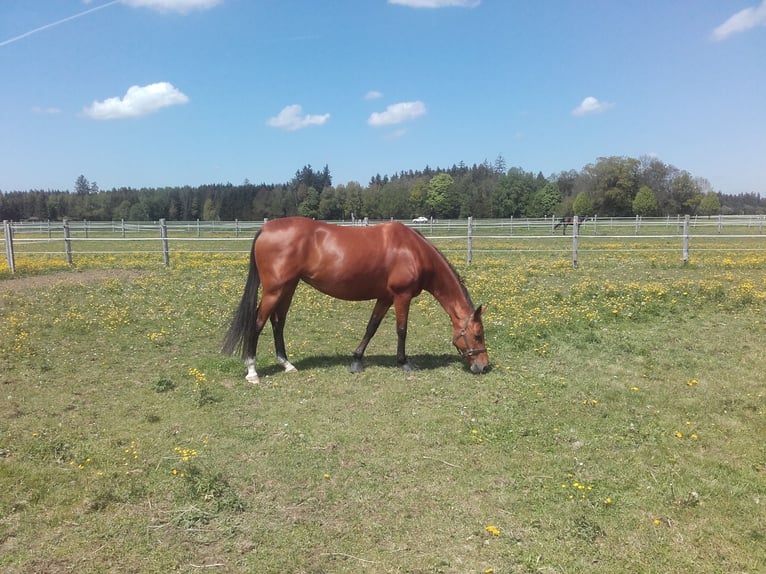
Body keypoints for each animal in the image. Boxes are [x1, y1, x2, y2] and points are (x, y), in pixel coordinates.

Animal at [222, 218, 488, 384]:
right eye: (478, 335)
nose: (484, 366)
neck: (413, 251)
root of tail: (265, 229)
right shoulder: (401, 296)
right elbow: (401, 330)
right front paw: (404, 363)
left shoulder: (385, 297)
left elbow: (371, 327)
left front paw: (357, 361)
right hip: (274, 290)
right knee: (258, 322)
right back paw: (252, 371)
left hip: (288, 288)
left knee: (278, 322)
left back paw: (286, 364)